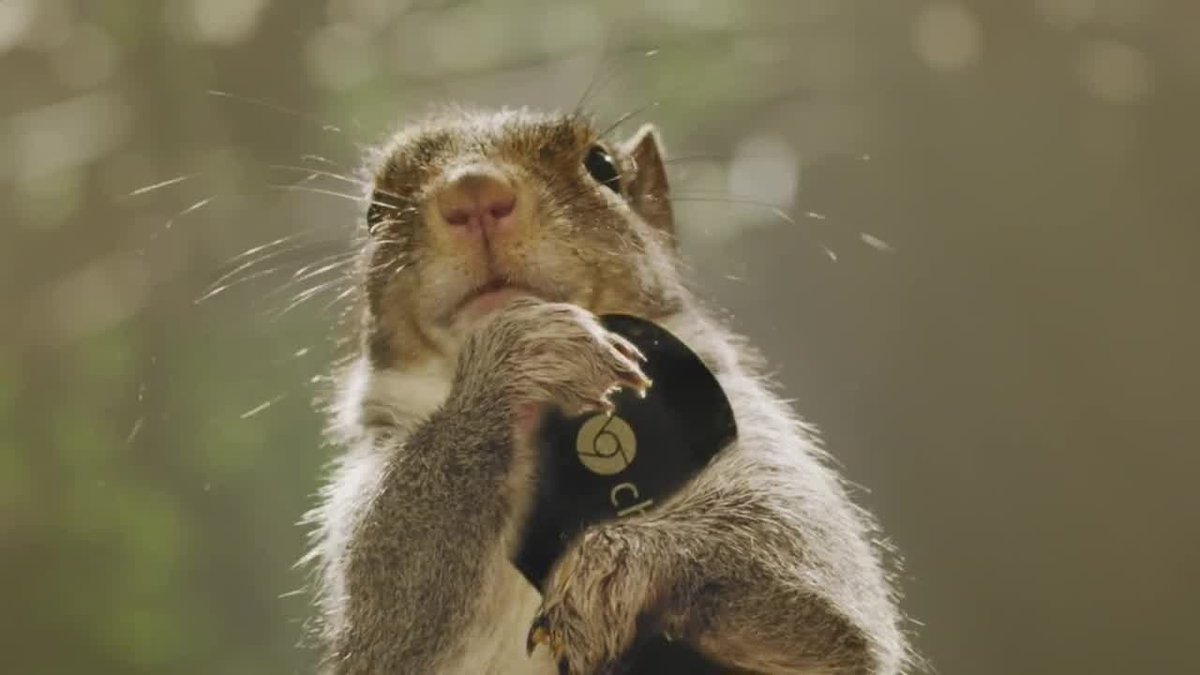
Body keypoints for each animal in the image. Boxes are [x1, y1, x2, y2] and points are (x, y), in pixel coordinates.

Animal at [300, 107, 911, 675]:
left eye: (603, 168)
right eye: (375, 213)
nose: (473, 193)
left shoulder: (762, 443)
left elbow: (821, 602)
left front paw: (618, 567)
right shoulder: (365, 504)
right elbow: (392, 603)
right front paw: (520, 355)